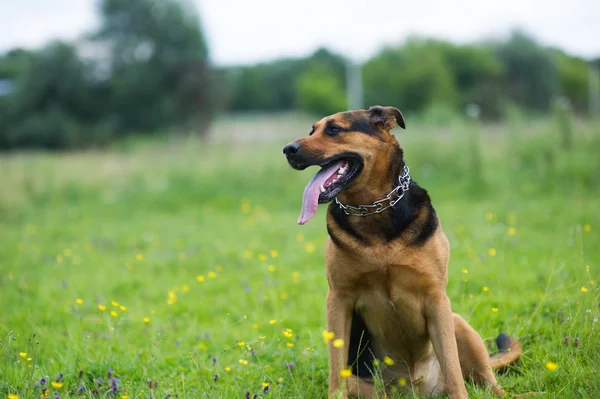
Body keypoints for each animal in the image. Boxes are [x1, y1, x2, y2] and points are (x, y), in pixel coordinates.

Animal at [282, 107, 520, 399]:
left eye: (334, 129)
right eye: (311, 130)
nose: (288, 149)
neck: (373, 209)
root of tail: (415, 387)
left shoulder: (436, 299)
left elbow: (453, 369)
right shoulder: (338, 299)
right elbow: (336, 372)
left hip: (458, 324)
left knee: (486, 380)